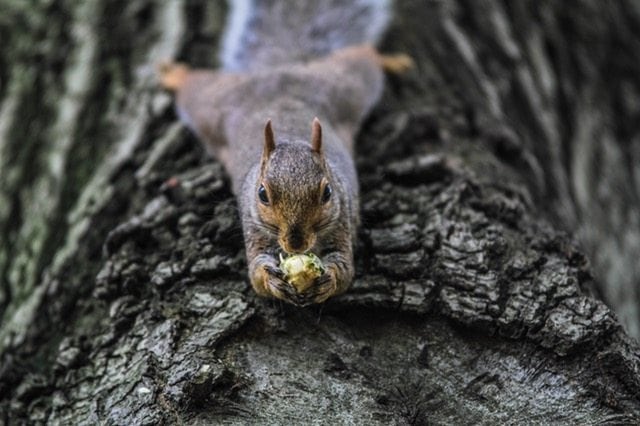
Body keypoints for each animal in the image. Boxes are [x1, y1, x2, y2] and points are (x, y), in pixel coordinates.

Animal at [159, 0, 410, 306]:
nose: (296, 244)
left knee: (363, 57)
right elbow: (256, 274)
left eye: (327, 193)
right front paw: (271, 279)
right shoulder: (254, 228)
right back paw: (174, 74)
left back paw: (392, 60)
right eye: (262, 194)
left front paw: (328, 280)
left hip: (346, 86)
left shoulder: (342, 221)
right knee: (194, 87)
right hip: (213, 105)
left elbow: (345, 270)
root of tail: (280, 70)